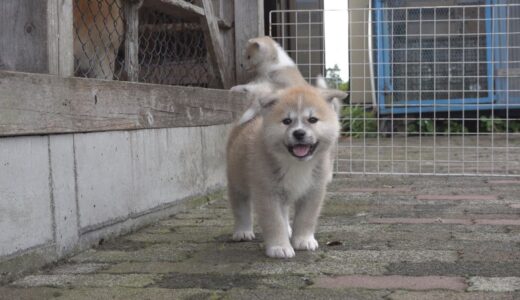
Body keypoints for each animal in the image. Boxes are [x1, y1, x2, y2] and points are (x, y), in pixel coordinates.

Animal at [226, 85, 346, 258]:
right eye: (287, 121)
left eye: (312, 119)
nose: (299, 133)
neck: (296, 164)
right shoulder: (267, 193)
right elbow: (274, 222)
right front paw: (279, 247)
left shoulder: (313, 191)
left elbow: (306, 218)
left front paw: (303, 240)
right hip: (237, 182)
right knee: (241, 208)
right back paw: (243, 231)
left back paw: (288, 229)